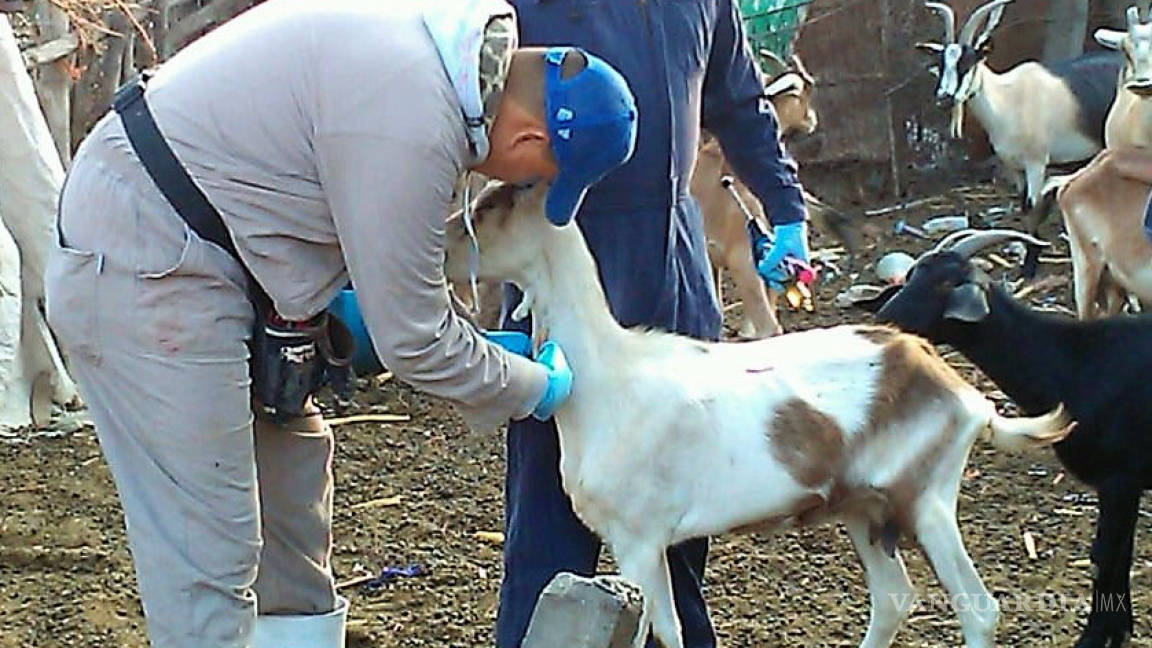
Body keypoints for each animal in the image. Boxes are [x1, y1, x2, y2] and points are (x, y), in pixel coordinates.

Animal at [446, 179, 1069, 645]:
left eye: (494, 205)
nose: (446, 246)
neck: (608, 376)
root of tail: (962, 393)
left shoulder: (639, 541)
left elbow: (665, 633)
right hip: (864, 509)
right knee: (894, 599)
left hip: (926, 500)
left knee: (977, 608)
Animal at [861, 229, 1152, 645]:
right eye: (913, 274)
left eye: (947, 284)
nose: (885, 320)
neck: (1072, 363)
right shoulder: (1121, 487)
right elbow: (1117, 558)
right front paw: (1119, 630)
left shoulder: (1120, 479)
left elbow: (1105, 558)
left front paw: (1096, 636)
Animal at [916, 0, 1115, 221]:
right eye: (941, 64)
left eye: (967, 62)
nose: (944, 96)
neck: (1008, 101)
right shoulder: (1015, 168)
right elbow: (1025, 209)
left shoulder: (1036, 164)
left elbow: (1034, 211)